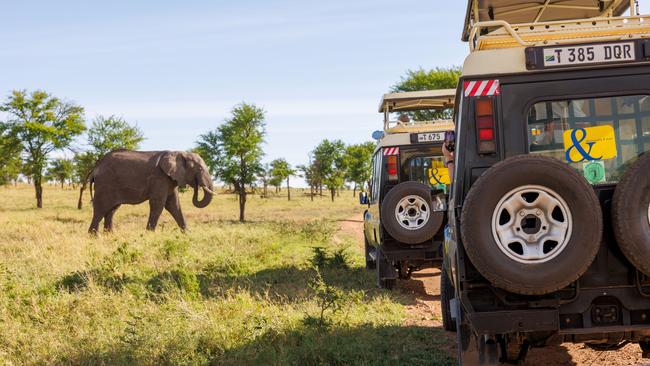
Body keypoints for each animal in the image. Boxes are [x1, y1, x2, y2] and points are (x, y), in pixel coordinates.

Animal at [80, 150, 214, 233]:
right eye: (200, 169)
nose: (198, 186)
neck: (179, 153)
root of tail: (95, 168)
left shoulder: (170, 180)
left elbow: (174, 205)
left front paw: (188, 234)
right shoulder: (160, 178)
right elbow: (158, 204)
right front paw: (150, 234)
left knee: (111, 210)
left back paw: (110, 235)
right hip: (105, 184)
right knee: (100, 210)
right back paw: (94, 236)